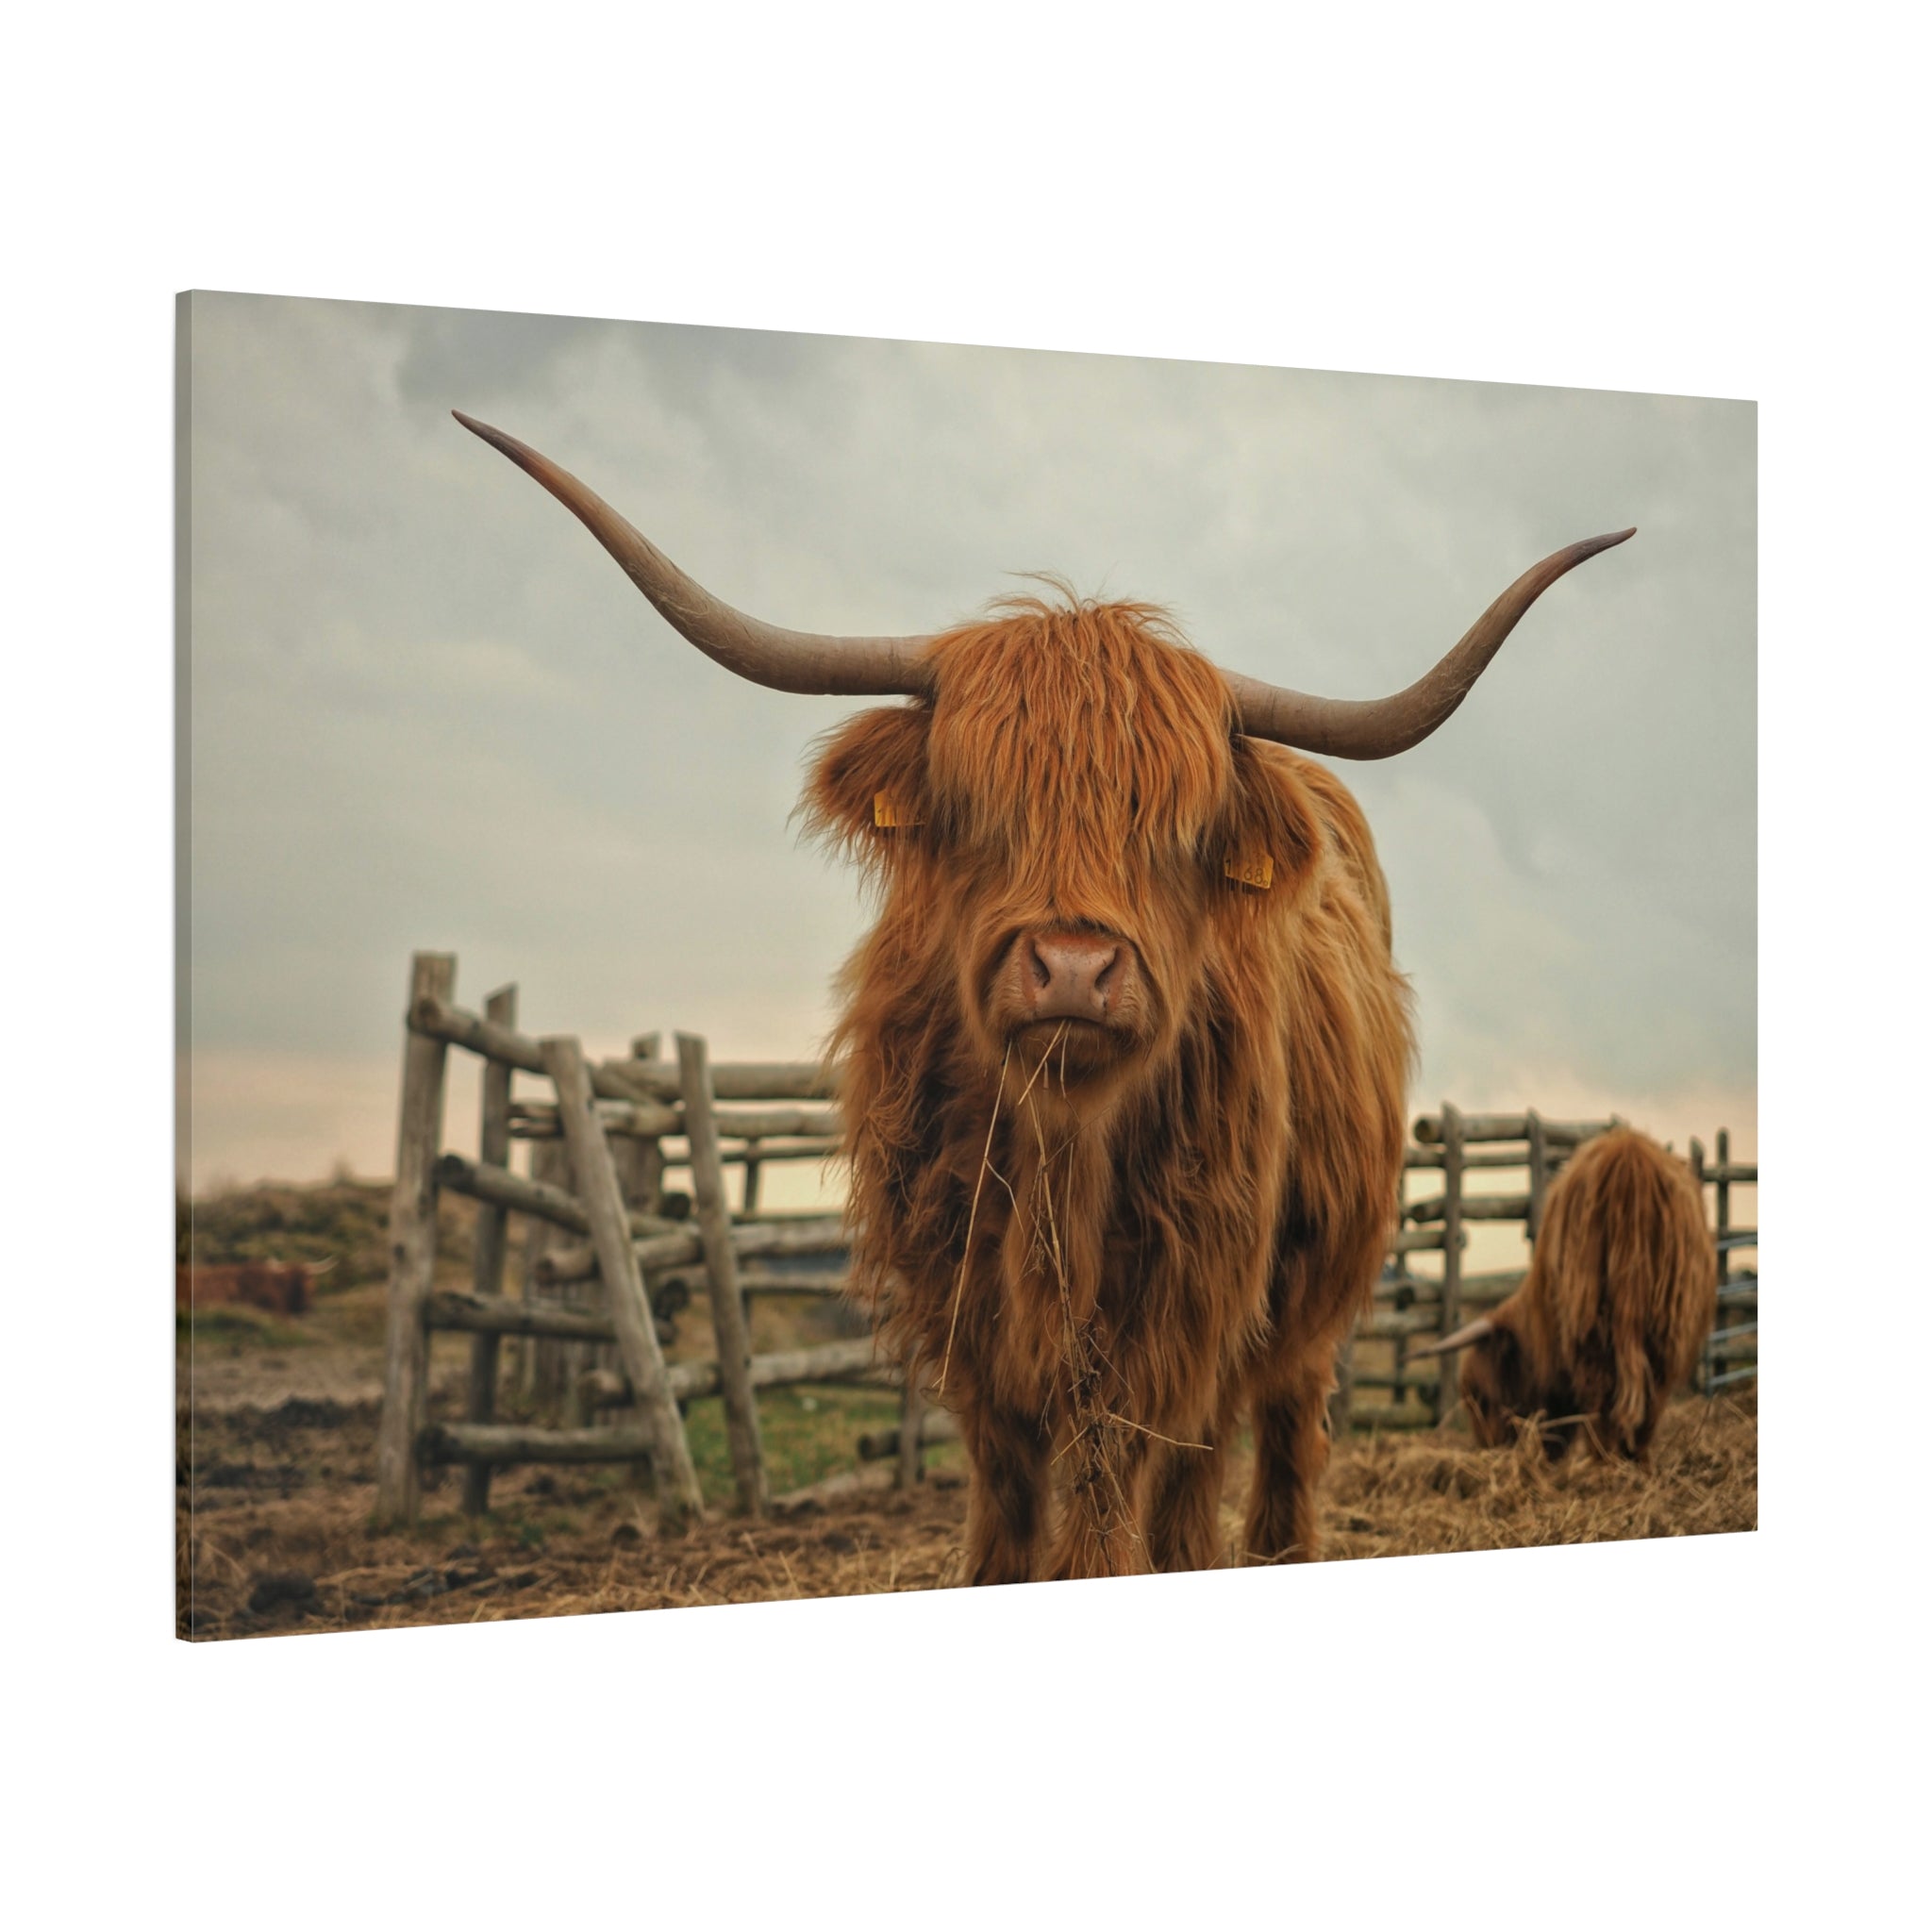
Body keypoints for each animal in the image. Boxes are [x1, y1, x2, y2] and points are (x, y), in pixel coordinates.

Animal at [456, 409, 1632, 1579]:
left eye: (1178, 829)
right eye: (979, 805)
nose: (1072, 966)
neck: (1058, 1152)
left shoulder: (1178, 1303)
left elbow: (1120, 1480)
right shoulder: (964, 1309)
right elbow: (1009, 1487)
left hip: (1303, 1296)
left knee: (1265, 1434)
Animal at [1415, 1127, 1717, 1462]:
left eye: (1481, 1397)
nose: (1488, 1448)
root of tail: (1628, 1156)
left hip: (1590, 1319)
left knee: (1603, 1393)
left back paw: (1603, 1459)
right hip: (1666, 1322)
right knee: (1650, 1395)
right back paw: (1632, 1459)